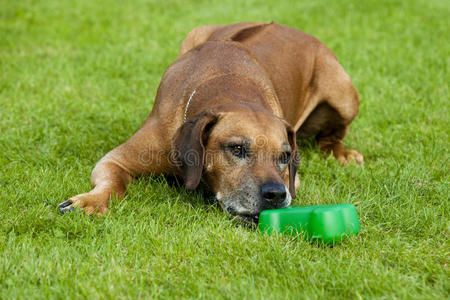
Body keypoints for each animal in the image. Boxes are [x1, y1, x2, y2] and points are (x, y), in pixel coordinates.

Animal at [59, 21, 362, 223]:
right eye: (237, 148)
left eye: (285, 156)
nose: (276, 195)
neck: (229, 84)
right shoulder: (117, 159)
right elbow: (113, 181)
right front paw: (92, 200)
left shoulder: (292, 179)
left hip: (344, 92)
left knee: (332, 135)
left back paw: (342, 153)